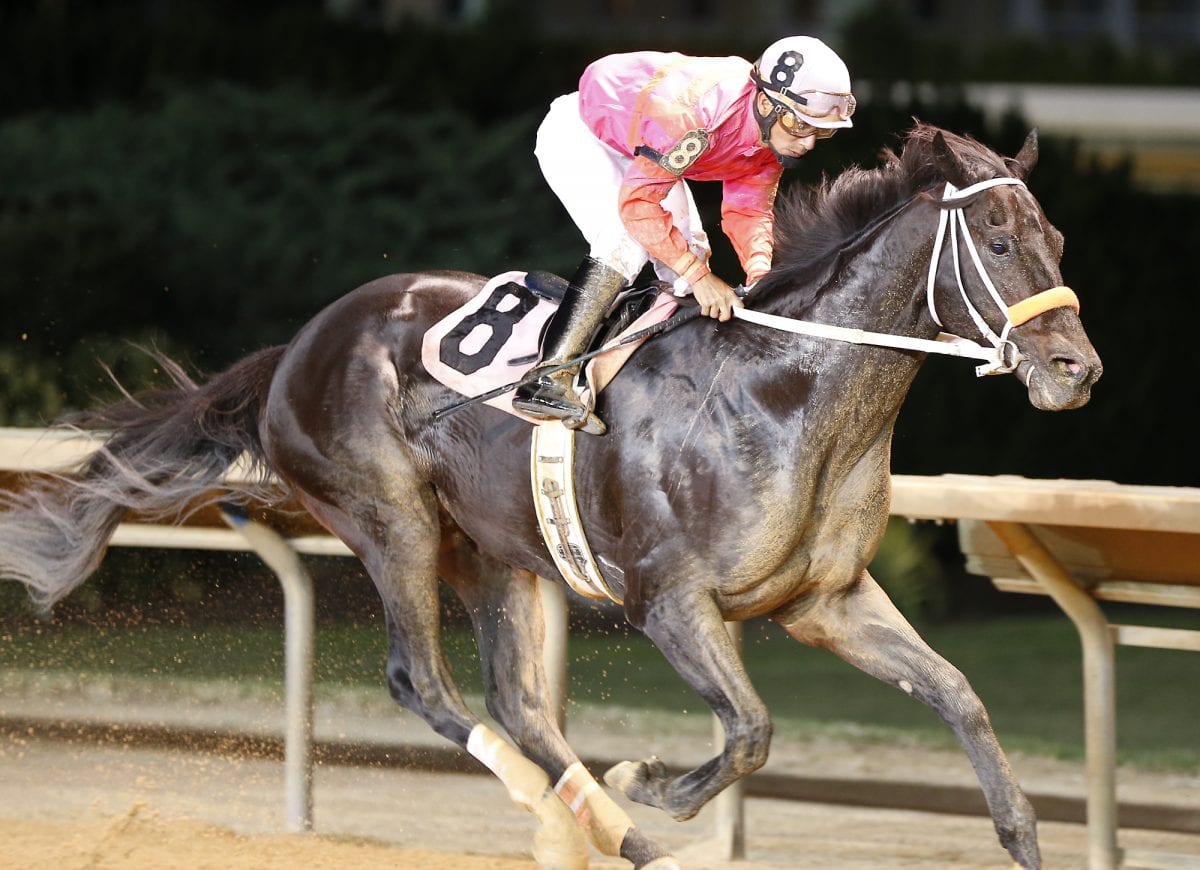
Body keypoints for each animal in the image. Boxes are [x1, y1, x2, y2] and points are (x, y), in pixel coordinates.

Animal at [0, 123, 1099, 868]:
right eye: (997, 238)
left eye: (1055, 232)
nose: (1074, 370)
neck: (788, 386)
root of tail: (293, 351)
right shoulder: (669, 602)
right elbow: (750, 729)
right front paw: (652, 781)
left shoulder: (826, 600)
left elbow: (955, 691)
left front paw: (1021, 833)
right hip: (392, 521)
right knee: (425, 685)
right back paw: (599, 826)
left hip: (493, 552)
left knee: (521, 704)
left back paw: (611, 836)